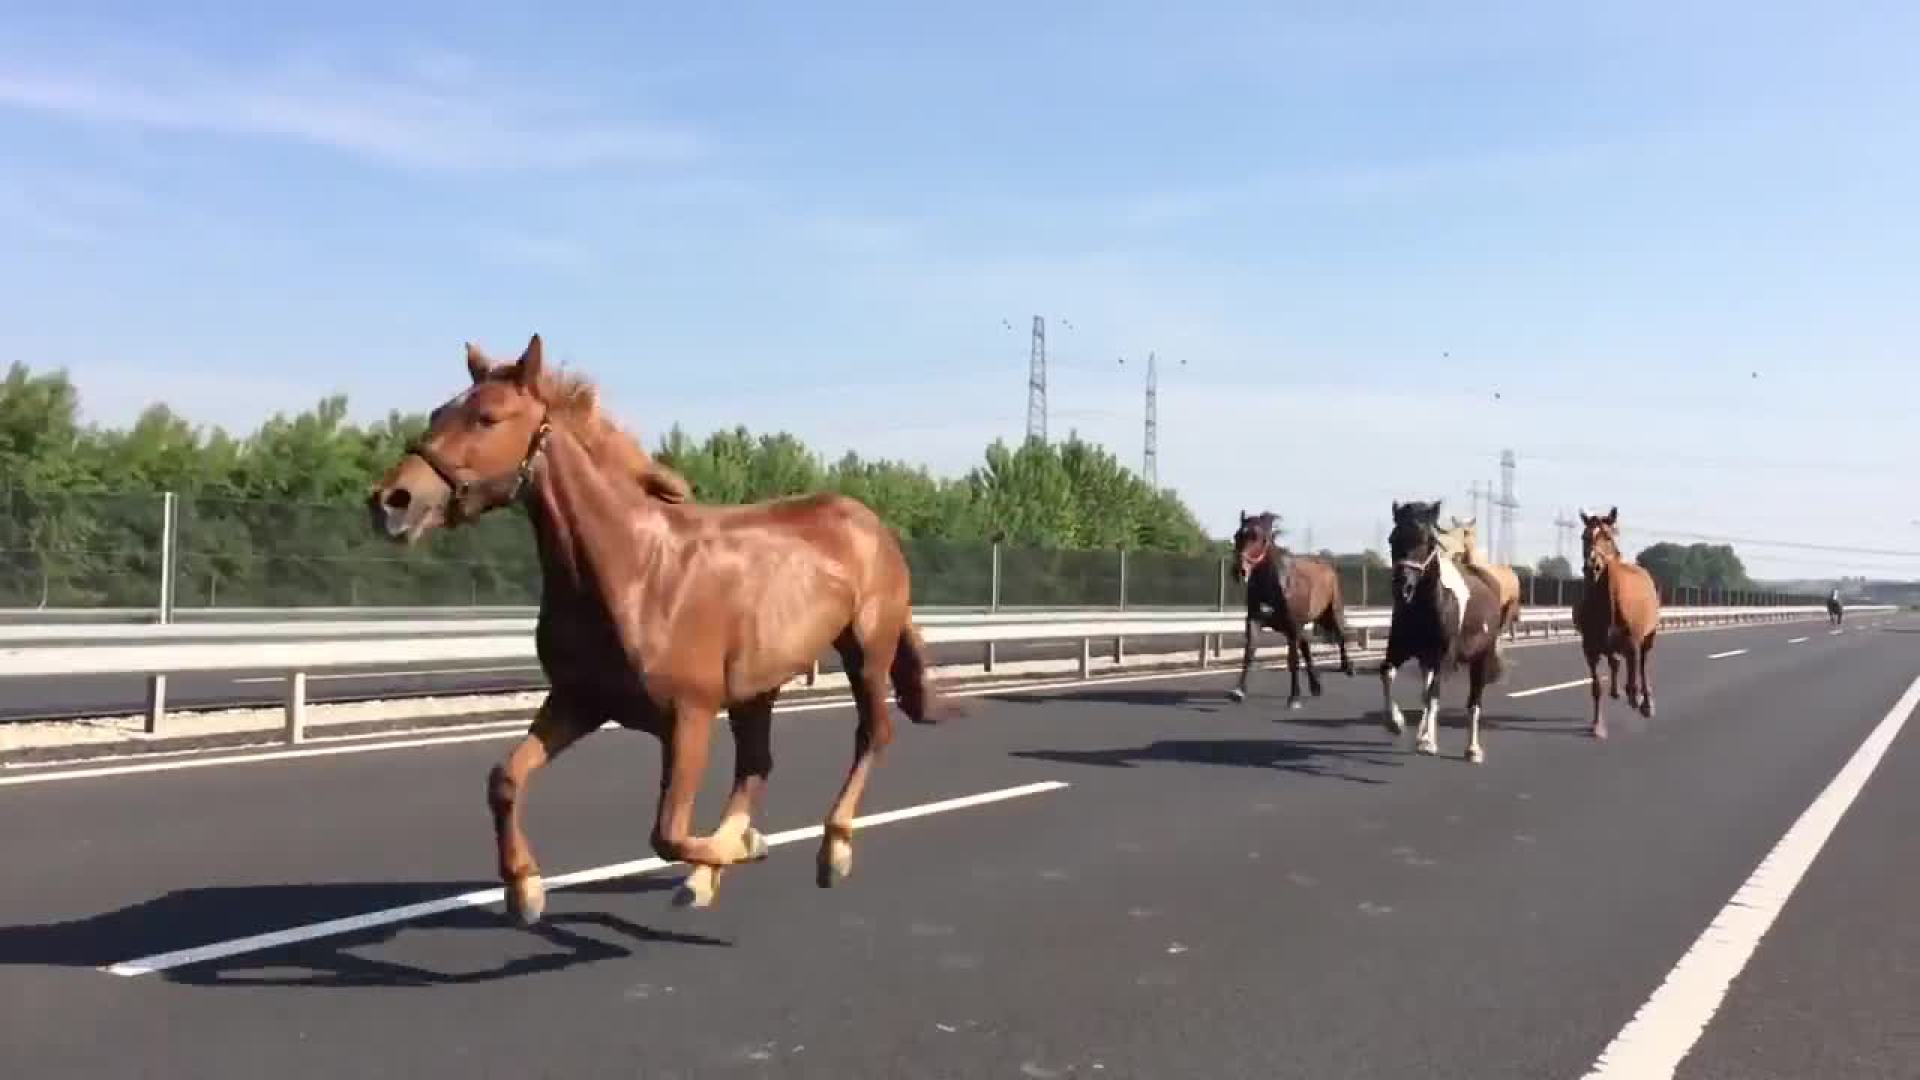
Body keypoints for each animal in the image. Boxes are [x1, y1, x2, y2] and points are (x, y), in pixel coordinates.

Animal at [368, 335, 958, 923]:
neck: (634, 572)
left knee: (871, 735)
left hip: (866, 651)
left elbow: (667, 834)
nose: (390, 502)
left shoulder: (688, 715)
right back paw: (716, 870)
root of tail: (871, 523)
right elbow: (505, 778)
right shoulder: (579, 702)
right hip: (757, 687)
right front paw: (524, 887)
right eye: (438, 413)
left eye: (488, 418)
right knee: (757, 765)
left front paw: (741, 850)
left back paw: (830, 849)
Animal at [1226, 511, 1354, 707]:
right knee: (1306, 645)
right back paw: (1316, 686)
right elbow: (1249, 652)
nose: (1240, 570)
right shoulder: (1255, 619)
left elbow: (1293, 660)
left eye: (1259, 537)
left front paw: (1294, 698)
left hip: (1330, 614)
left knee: (1340, 636)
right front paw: (1238, 691)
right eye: (1237, 535)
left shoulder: (1292, 624)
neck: (1276, 583)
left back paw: (1347, 668)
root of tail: (1328, 567)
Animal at [1378, 499, 1509, 763]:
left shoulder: (1443, 657)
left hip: (1480, 659)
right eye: (1392, 538)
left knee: (1473, 703)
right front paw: (1395, 723)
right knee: (1426, 695)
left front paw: (1429, 742)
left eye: (1429, 540)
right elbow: (1387, 673)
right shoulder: (1401, 649)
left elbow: (1434, 695)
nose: (1402, 587)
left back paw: (1473, 750)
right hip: (1426, 660)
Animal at [1572, 507, 1661, 739]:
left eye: (1608, 537)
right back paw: (1616, 691)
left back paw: (1646, 702)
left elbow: (1634, 673)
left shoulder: (1633, 641)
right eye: (1584, 537)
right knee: (1615, 661)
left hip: (1649, 638)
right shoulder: (1590, 648)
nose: (1592, 567)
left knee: (1643, 664)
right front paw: (1598, 726)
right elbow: (1596, 687)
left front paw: (1637, 698)